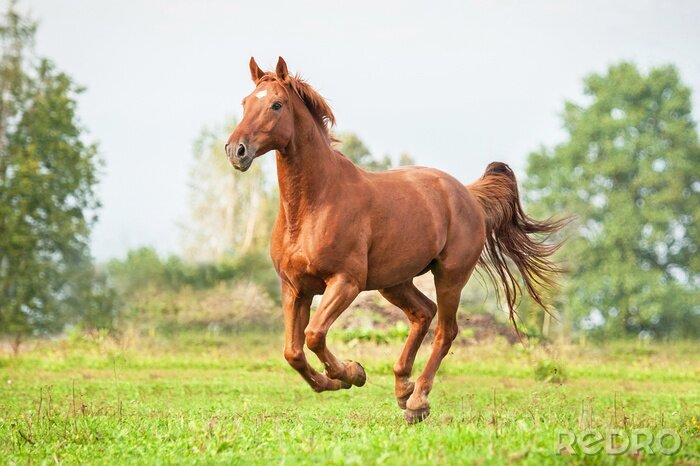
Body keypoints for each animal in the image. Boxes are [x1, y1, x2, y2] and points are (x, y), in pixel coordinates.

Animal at [225, 57, 564, 423]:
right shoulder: (294, 287)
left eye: (276, 104)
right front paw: (335, 380)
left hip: (449, 277)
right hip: (394, 281)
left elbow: (313, 335)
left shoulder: (345, 282)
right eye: (245, 102)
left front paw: (351, 373)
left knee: (445, 331)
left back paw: (418, 402)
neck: (314, 206)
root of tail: (468, 195)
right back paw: (404, 387)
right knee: (423, 313)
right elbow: (293, 352)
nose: (236, 150)